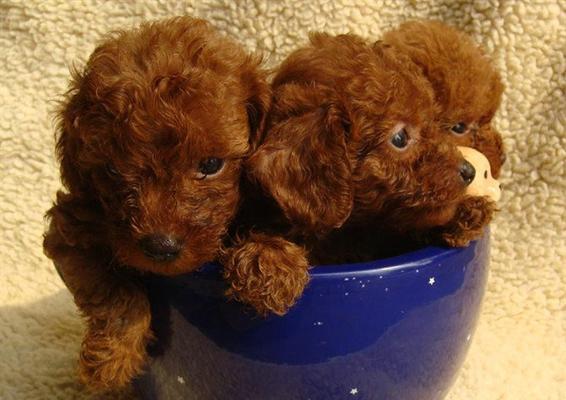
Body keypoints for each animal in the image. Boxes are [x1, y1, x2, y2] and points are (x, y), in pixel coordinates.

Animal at [43, 17, 270, 390]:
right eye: (112, 170)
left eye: (211, 165)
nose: (160, 247)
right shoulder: (70, 233)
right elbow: (116, 292)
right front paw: (113, 359)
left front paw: (270, 266)